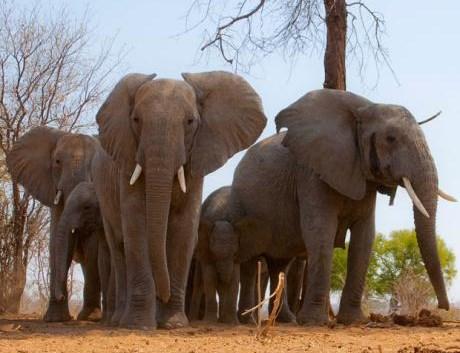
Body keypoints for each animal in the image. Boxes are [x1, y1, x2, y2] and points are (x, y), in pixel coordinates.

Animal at [6, 127, 100, 322]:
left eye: (93, 165)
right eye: (57, 161)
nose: (62, 295)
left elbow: (92, 245)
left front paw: (91, 318)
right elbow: (56, 241)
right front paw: (56, 319)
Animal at [95, 71, 266, 328]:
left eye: (190, 122)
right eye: (136, 120)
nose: (163, 294)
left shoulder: (197, 159)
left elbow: (184, 225)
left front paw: (173, 324)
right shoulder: (127, 161)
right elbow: (136, 222)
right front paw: (139, 325)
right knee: (119, 248)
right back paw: (119, 321)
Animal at [228, 88, 454, 324]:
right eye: (391, 139)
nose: (443, 307)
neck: (365, 107)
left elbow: (364, 237)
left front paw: (354, 320)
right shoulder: (312, 172)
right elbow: (320, 232)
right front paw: (314, 322)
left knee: (279, 264)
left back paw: (285, 320)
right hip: (241, 206)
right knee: (252, 262)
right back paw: (252, 321)